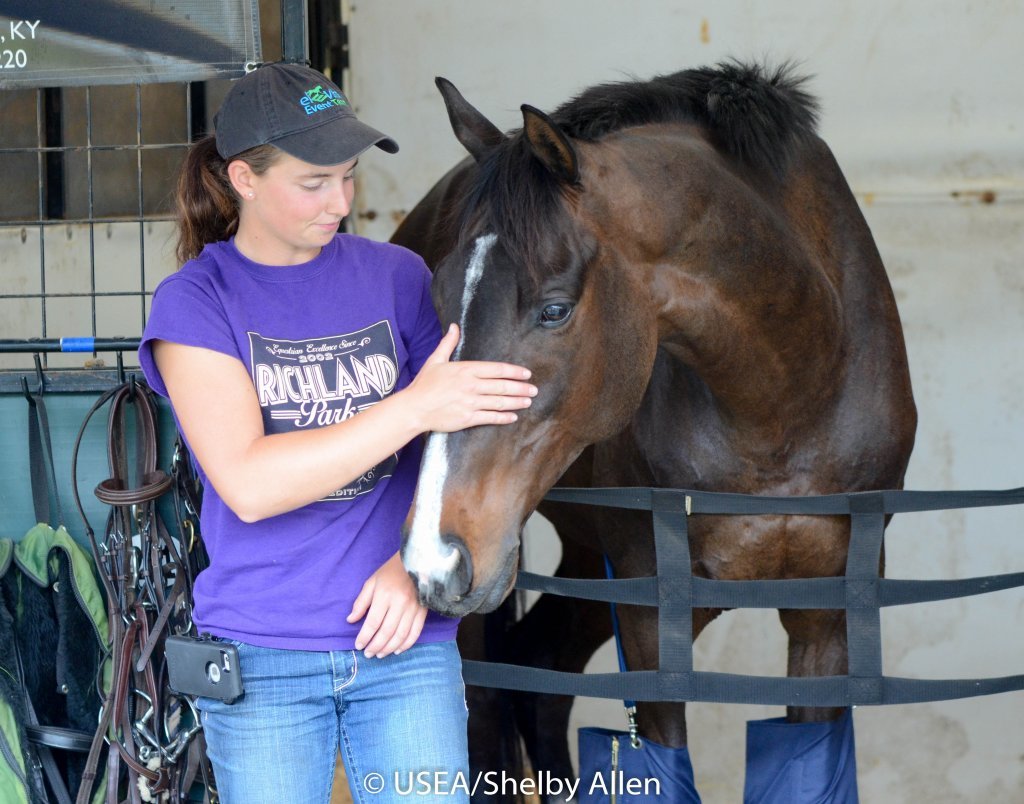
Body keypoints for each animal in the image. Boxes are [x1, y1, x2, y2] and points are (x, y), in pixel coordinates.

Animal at [392, 62, 917, 800]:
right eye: (435, 300)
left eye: (554, 310)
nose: (436, 557)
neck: (784, 400)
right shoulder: (647, 618)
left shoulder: (825, 616)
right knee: (490, 698)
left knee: (541, 674)